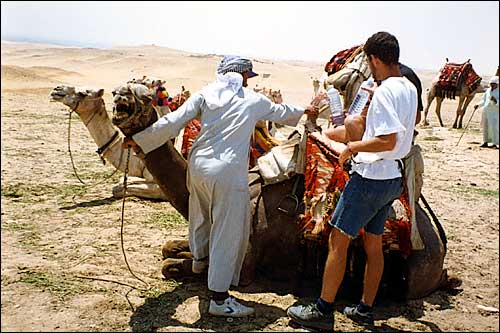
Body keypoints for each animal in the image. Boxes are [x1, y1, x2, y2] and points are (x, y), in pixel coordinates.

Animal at [109, 81, 458, 300]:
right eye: (122, 91)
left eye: (145, 97)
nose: (119, 94)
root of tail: (440, 250)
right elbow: (170, 247)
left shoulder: (243, 264)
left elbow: (173, 266)